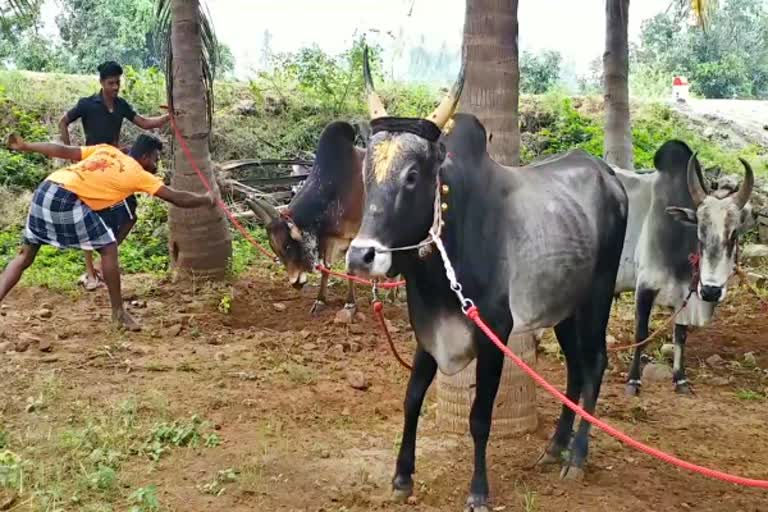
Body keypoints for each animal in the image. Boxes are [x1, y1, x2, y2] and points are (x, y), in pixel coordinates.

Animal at [344, 49, 628, 512]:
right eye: (367, 173)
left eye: (412, 176)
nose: (361, 255)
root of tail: (606, 172)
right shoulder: (429, 333)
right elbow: (412, 398)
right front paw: (402, 476)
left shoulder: (496, 331)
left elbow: (479, 417)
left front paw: (478, 491)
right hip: (565, 307)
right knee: (574, 366)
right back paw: (554, 448)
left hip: (597, 298)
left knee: (595, 364)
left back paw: (577, 457)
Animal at [612, 141, 756, 396]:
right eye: (699, 232)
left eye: (734, 234)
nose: (710, 291)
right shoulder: (644, 287)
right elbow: (641, 333)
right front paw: (633, 381)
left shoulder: (685, 295)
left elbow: (680, 335)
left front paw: (680, 379)